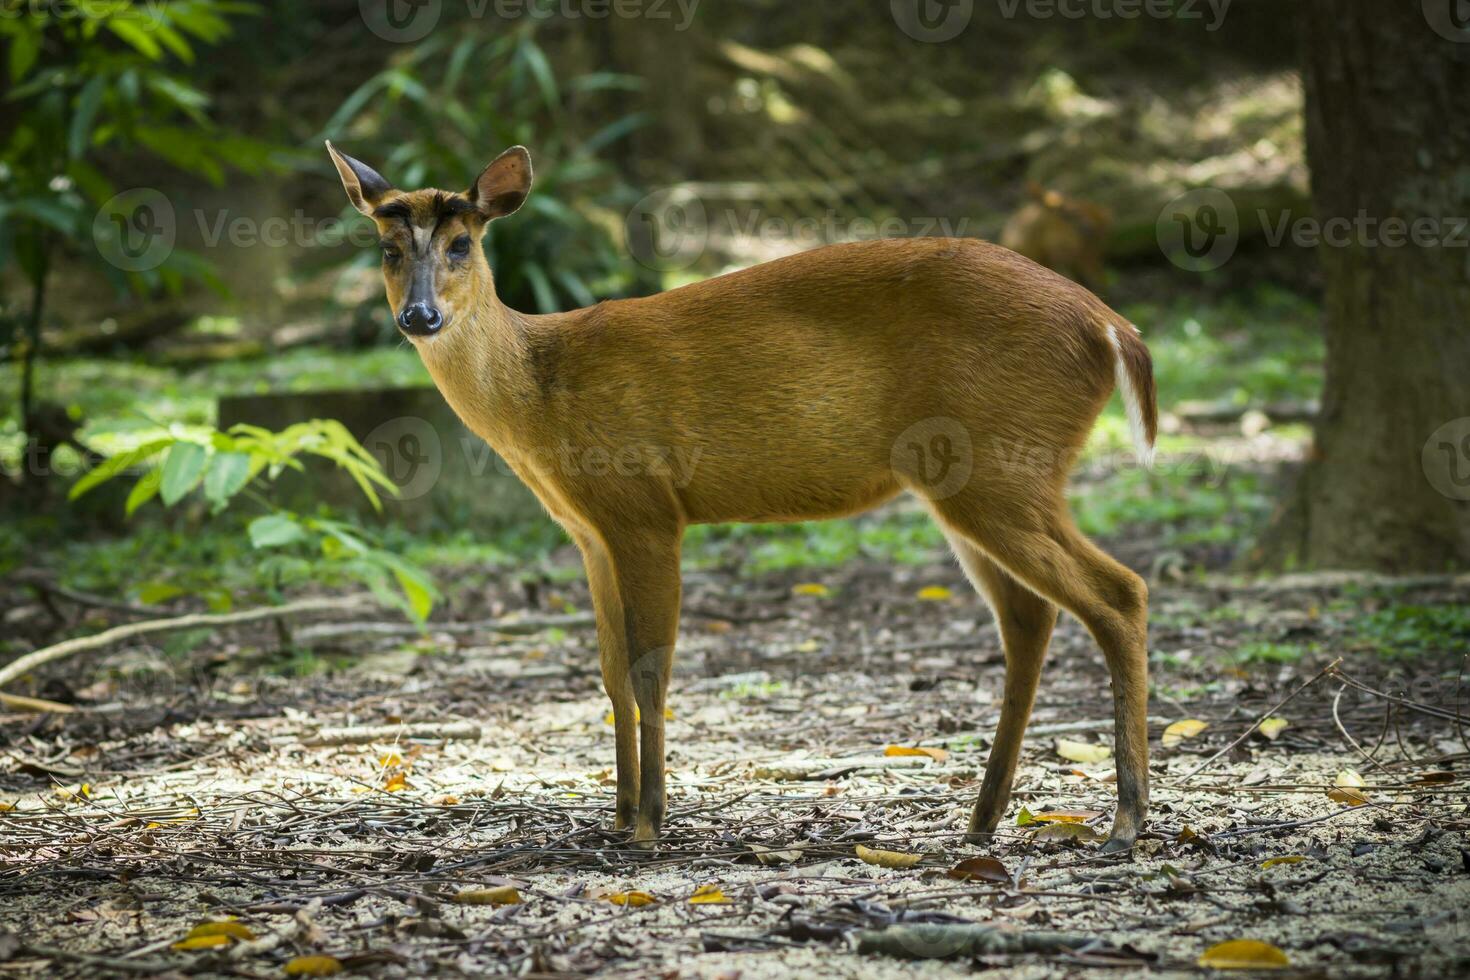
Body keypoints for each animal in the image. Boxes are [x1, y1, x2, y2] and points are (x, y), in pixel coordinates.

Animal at [324, 141, 1158, 852]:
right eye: (388, 248)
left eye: (462, 244)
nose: (419, 316)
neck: (540, 392)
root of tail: (1113, 326)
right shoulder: (588, 530)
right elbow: (609, 670)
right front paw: (617, 815)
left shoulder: (646, 506)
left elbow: (650, 667)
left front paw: (650, 824)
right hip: (970, 478)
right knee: (1030, 616)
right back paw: (984, 818)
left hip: (1004, 463)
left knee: (1119, 592)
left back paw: (1124, 820)